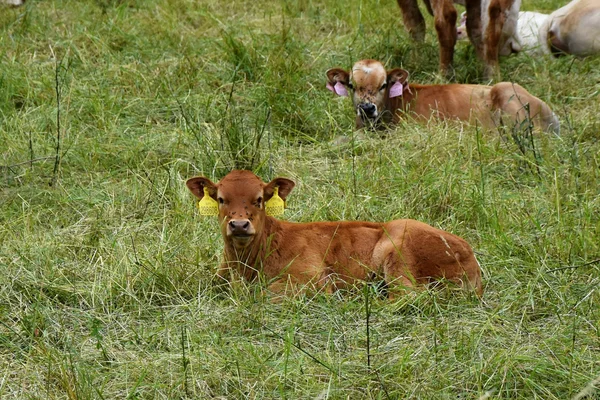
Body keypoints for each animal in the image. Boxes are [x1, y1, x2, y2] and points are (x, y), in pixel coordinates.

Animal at [186, 169, 482, 296]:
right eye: (221, 199)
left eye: (259, 199)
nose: (239, 225)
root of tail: (468, 251)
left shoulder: (310, 279)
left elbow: (265, 294)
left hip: (398, 251)